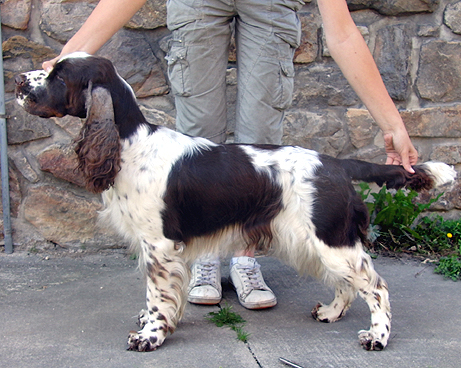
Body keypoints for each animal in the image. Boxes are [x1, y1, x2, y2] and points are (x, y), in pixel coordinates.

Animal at [14, 53, 452, 352]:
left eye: (58, 75)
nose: (17, 79)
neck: (130, 142)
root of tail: (335, 163)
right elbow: (159, 296)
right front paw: (156, 323)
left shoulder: (159, 245)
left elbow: (157, 296)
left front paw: (150, 335)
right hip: (317, 241)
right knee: (348, 283)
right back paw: (330, 313)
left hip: (332, 239)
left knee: (377, 288)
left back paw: (378, 337)